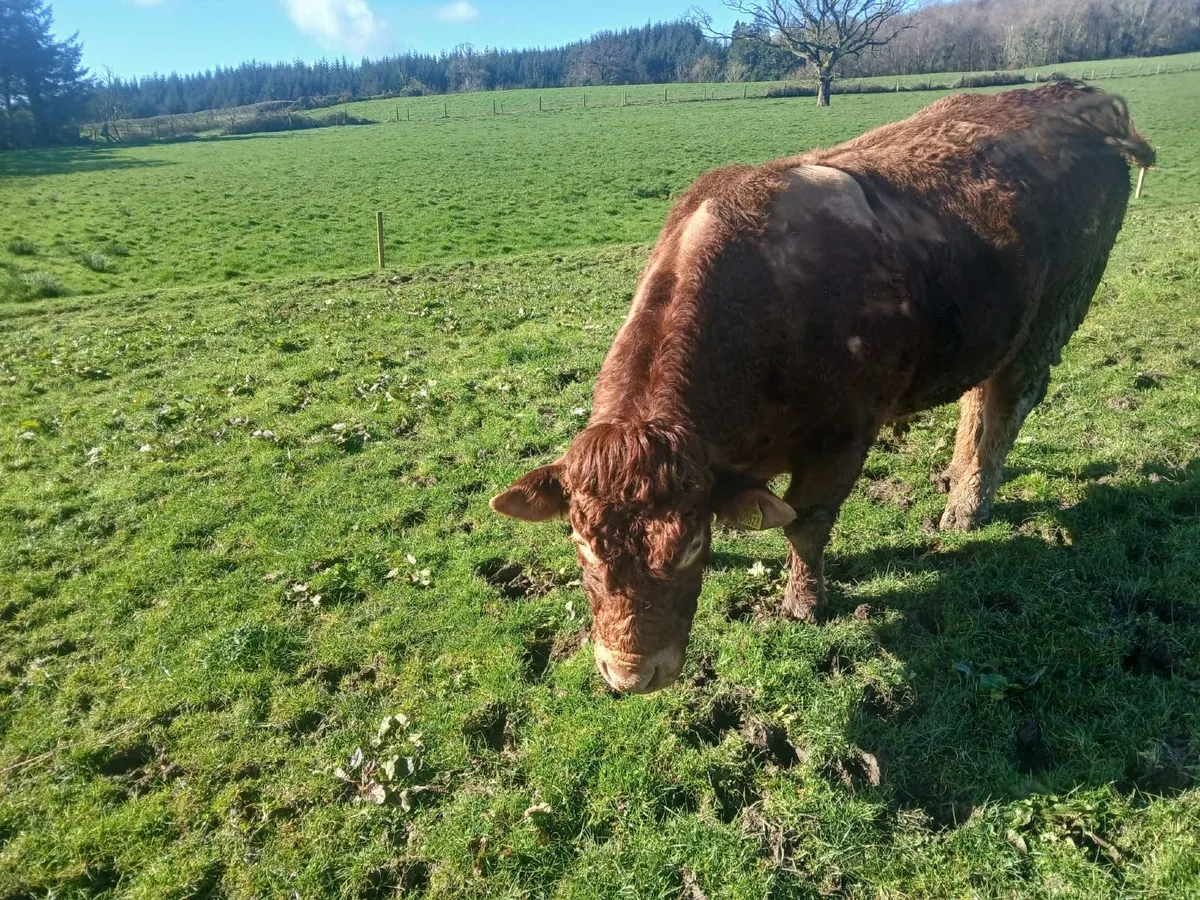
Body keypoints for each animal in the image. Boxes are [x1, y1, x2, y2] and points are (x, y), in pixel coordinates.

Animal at [491, 80, 1154, 694]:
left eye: (690, 545)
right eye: (581, 545)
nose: (631, 674)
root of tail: (1071, 98)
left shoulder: (841, 437)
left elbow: (806, 523)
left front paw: (803, 602)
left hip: (1053, 316)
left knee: (1008, 404)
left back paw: (967, 505)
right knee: (978, 402)